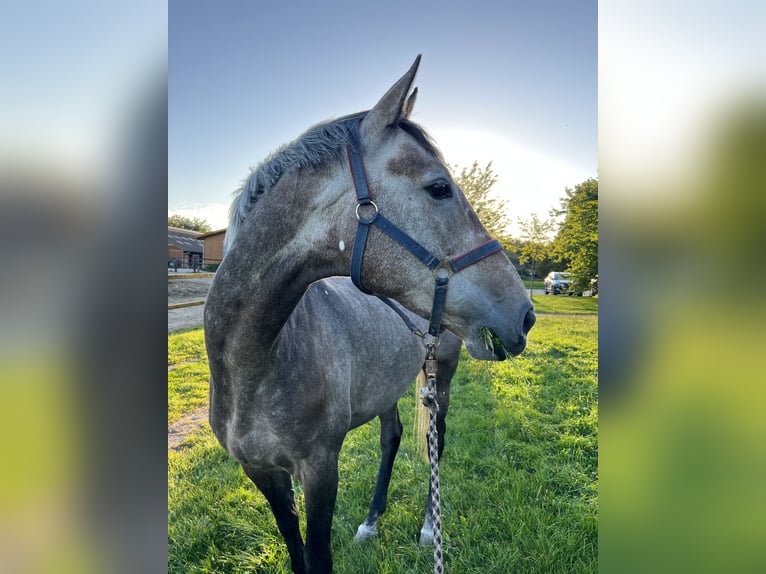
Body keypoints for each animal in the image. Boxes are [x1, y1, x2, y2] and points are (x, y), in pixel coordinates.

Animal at [207, 55, 536, 574]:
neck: (255, 366)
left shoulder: (321, 469)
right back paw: (370, 522)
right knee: (392, 437)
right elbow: (295, 548)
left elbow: (318, 557)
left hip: (441, 377)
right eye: (439, 188)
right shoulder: (264, 474)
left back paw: (428, 529)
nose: (524, 314)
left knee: (438, 438)